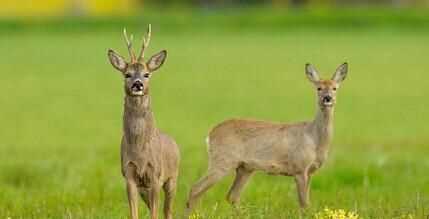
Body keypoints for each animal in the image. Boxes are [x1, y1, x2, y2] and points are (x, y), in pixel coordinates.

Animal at [108, 24, 181, 219]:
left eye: (147, 74)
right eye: (127, 74)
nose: (138, 84)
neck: (140, 150)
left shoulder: (155, 175)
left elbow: (156, 213)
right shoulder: (129, 175)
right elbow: (134, 213)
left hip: (172, 178)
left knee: (168, 211)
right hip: (145, 189)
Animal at [186, 62, 346, 213]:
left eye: (335, 88)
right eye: (318, 88)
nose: (327, 98)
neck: (314, 138)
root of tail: (210, 134)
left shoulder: (310, 172)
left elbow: (307, 204)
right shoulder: (299, 168)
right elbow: (304, 204)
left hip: (245, 168)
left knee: (231, 196)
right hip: (222, 160)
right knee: (196, 189)